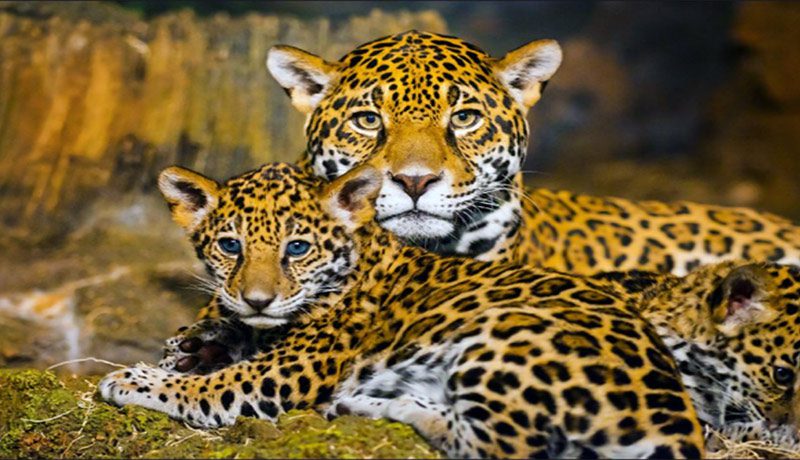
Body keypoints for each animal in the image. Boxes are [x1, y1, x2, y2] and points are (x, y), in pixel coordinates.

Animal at [101, 163, 800, 457]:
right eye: (230, 246)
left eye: (297, 247)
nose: (257, 297)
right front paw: (201, 338)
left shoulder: (290, 370)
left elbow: (216, 387)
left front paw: (133, 378)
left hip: (502, 345)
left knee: (499, 446)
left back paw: (372, 404)